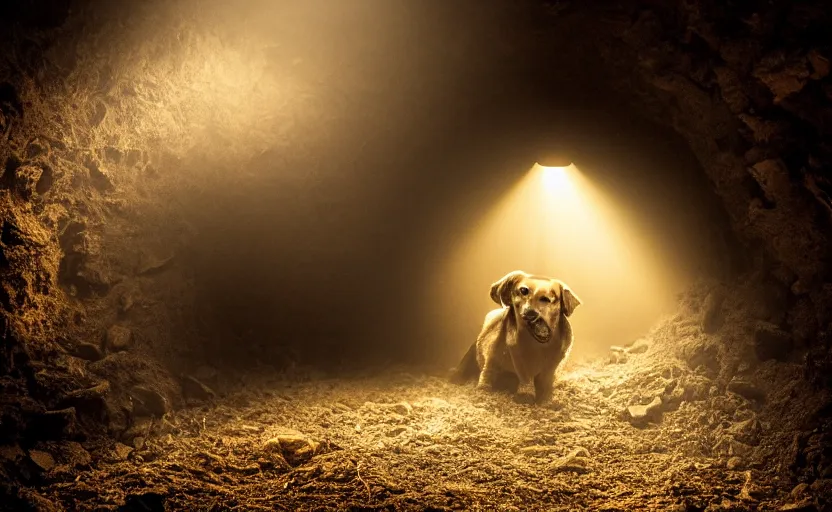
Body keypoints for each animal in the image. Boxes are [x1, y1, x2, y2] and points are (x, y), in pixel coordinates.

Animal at [452, 270, 580, 406]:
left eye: (548, 298)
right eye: (523, 290)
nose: (531, 314)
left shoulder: (552, 365)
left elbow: (545, 382)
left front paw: (547, 400)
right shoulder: (502, 357)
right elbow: (492, 374)